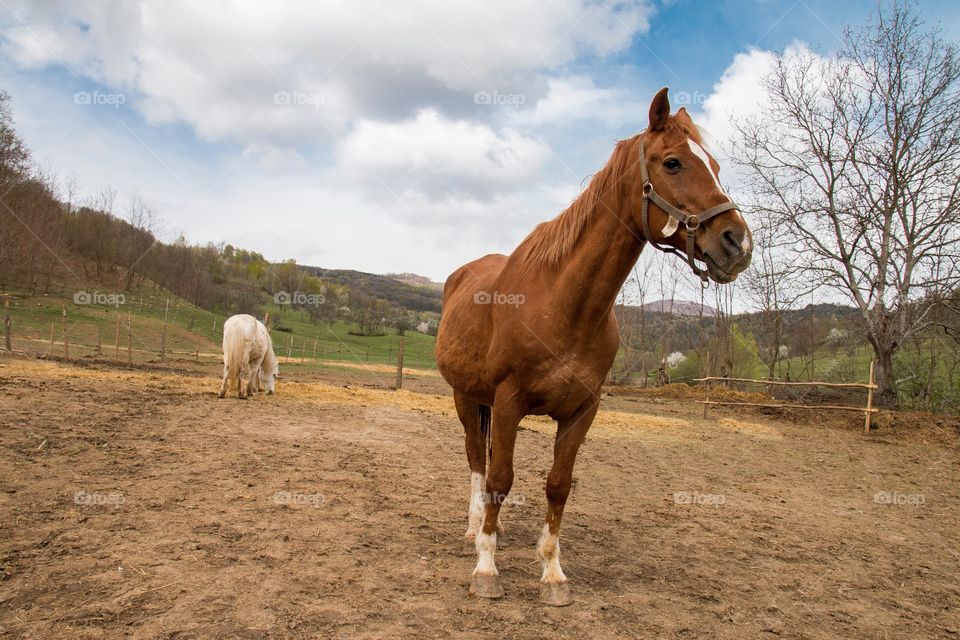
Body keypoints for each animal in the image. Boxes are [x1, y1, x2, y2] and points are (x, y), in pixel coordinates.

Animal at [434, 89, 752, 604]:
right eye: (673, 163)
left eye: (717, 166)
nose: (737, 243)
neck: (566, 304)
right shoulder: (508, 401)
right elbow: (500, 479)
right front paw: (486, 567)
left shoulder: (583, 409)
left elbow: (558, 485)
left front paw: (552, 571)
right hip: (467, 396)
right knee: (476, 459)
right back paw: (475, 529)